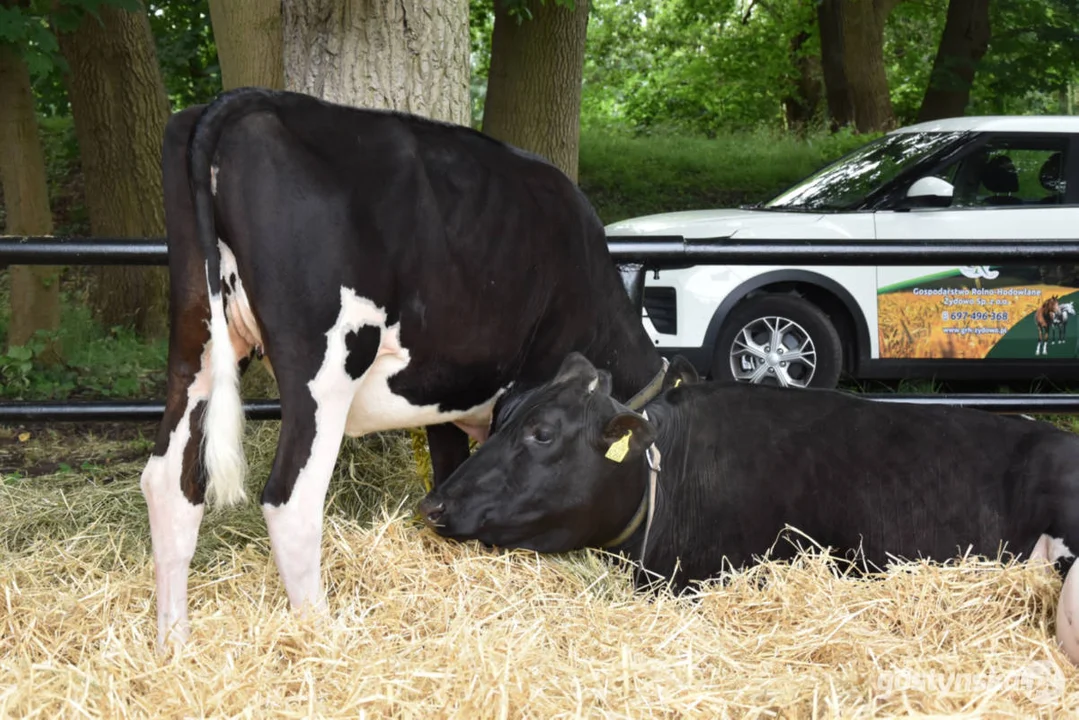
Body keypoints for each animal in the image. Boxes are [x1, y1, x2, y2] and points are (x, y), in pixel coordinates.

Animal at [141, 87, 664, 651]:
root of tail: (249, 100)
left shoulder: (448, 393)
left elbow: (450, 470)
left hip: (195, 339)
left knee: (169, 482)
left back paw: (173, 645)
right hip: (324, 364)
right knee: (290, 499)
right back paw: (323, 637)